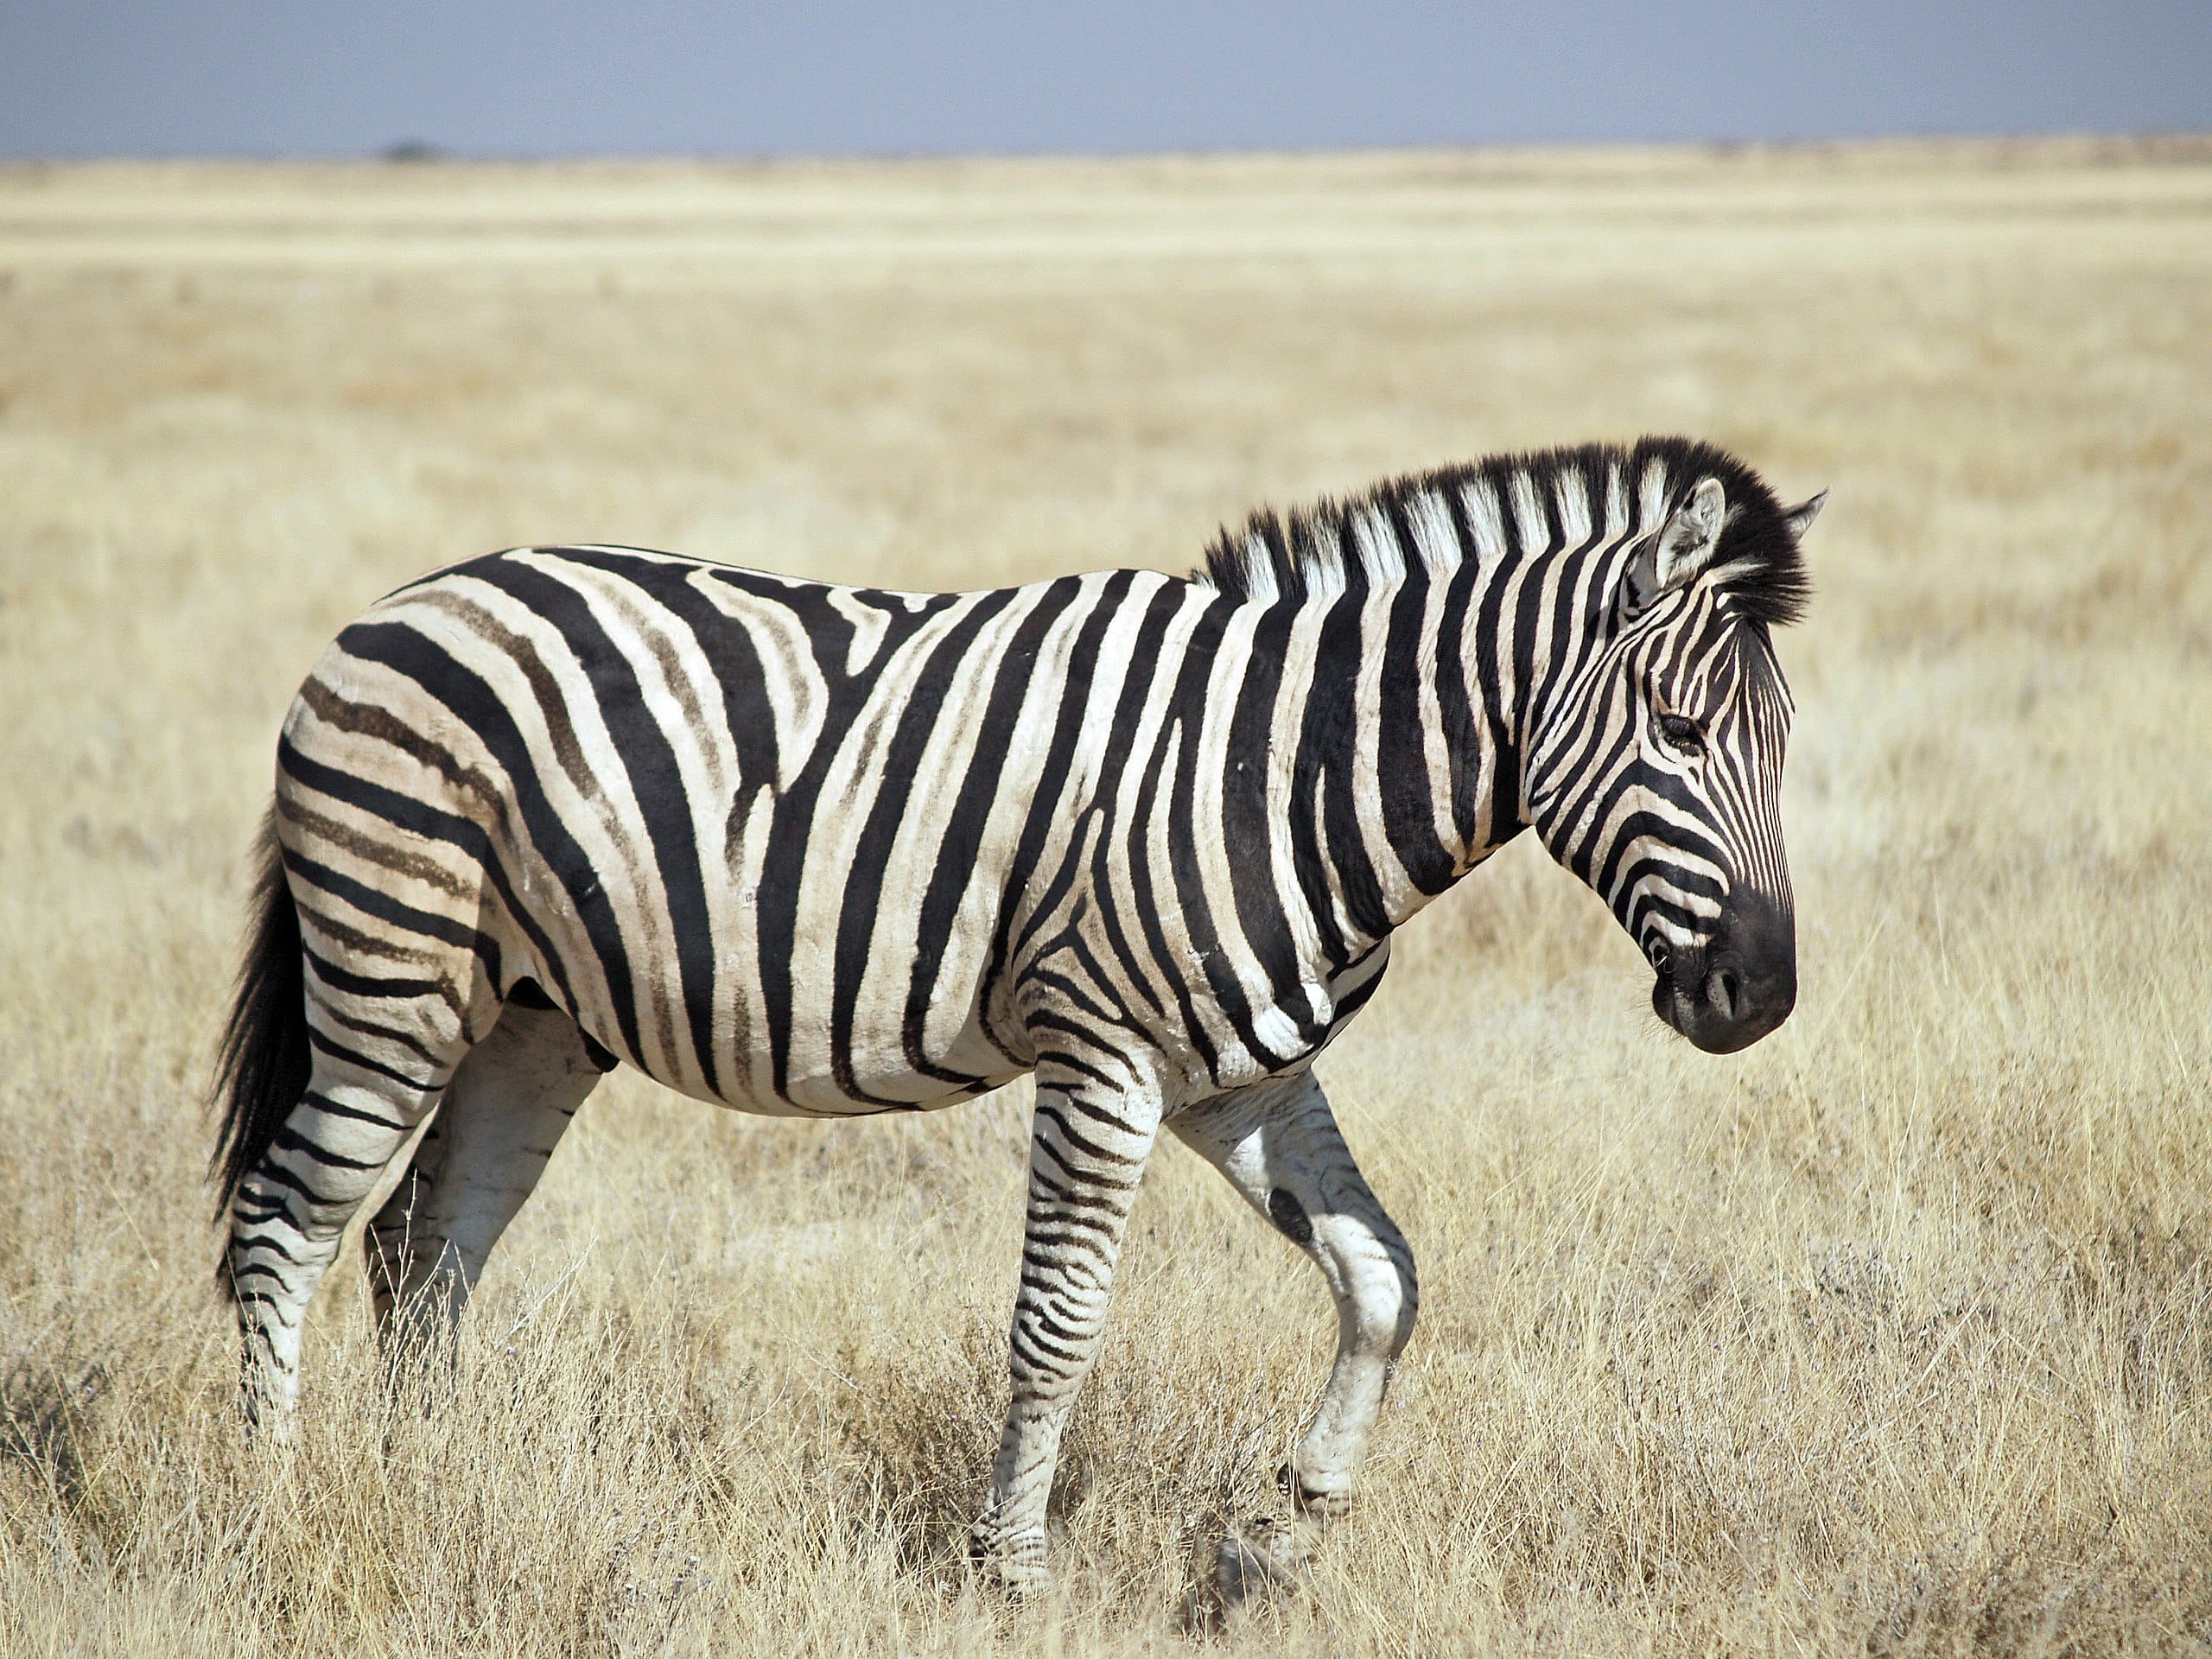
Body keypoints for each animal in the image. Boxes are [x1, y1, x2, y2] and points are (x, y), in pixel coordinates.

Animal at [212, 435, 1820, 1595]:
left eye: (1785, 743)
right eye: (1680, 734)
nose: (1763, 999)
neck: (1284, 767)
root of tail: (401, 602)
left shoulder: (1241, 1075)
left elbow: (1383, 1277)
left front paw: (1290, 1531)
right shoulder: (1101, 1054)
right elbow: (1059, 1324)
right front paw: (1015, 1572)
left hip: (535, 1013)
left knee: (425, 1250)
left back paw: (431, 1493)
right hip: (394, 973)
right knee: (286, 1226)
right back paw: (278, 1517)